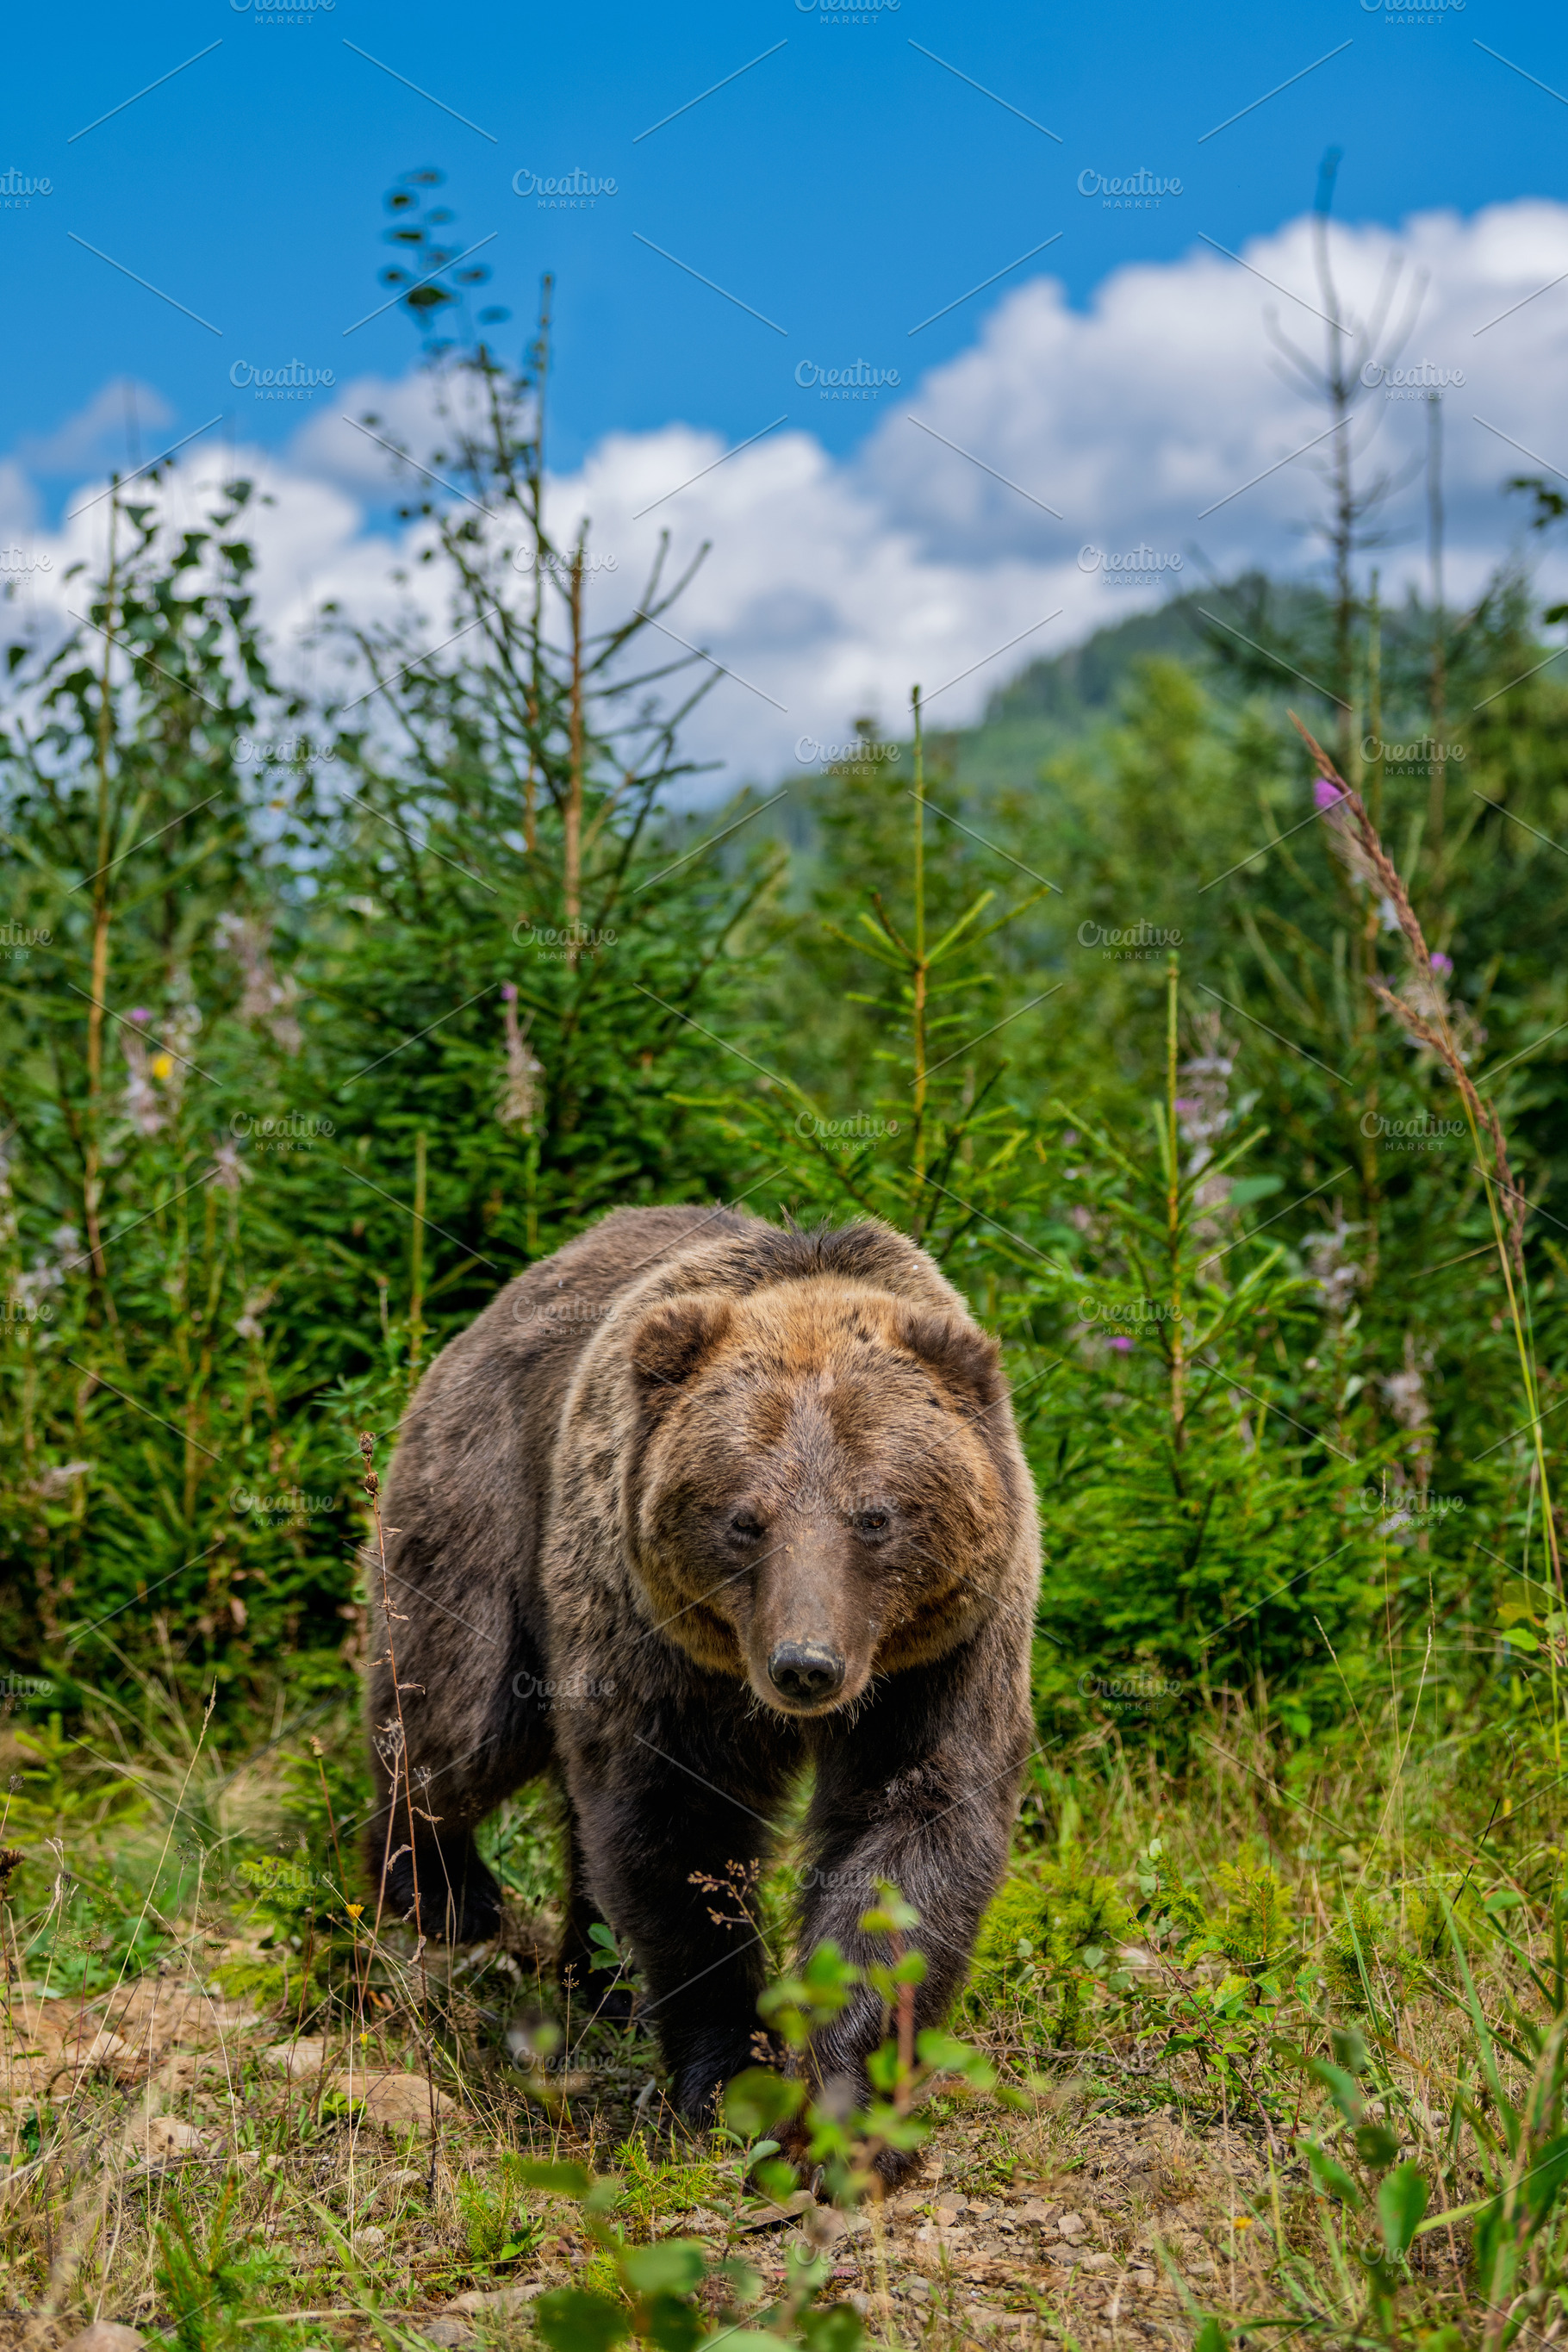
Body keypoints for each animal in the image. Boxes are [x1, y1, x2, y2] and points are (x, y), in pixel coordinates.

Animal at [363, 1204, 1040, 2149]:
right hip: (486, 1499)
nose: (805, 1666)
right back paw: (439, 1894)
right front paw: (726, 2076)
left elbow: (911, 1842)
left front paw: (843, 2100)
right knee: (460, 1719)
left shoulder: (943, 1656)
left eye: (875, 1516)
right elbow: (676, 1833)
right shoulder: (658, 1646)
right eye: (744, 1520)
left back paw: (595, 1978)